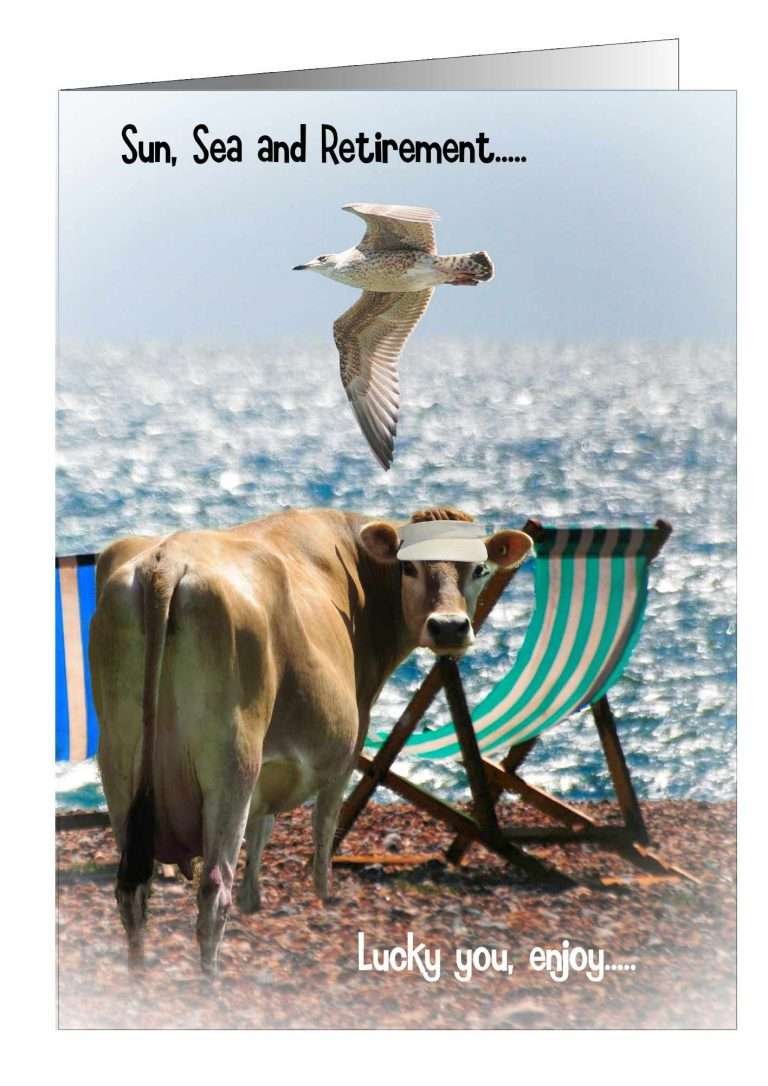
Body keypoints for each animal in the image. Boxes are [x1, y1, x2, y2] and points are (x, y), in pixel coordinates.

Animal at [89, 506, 532, 974]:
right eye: (409, 566)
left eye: (479, 568)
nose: (449, 627)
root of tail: (167, 562)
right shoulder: (350, 743)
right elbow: (325, 824)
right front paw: (322, 894)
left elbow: (262, 824)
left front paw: (254, 899)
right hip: (232, 759)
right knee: (212, 890)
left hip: (120, 759)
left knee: (132, 887)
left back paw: (139, 975)